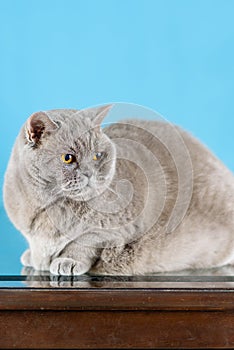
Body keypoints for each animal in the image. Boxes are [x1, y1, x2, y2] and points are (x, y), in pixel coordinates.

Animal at [3, 105, 234, 274]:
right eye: (68, 158)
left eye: (97, 155)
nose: (89, 173)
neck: (47, 206)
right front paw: (34, 257)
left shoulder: (118, 228)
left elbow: (84, 241)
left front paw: (67, 260)